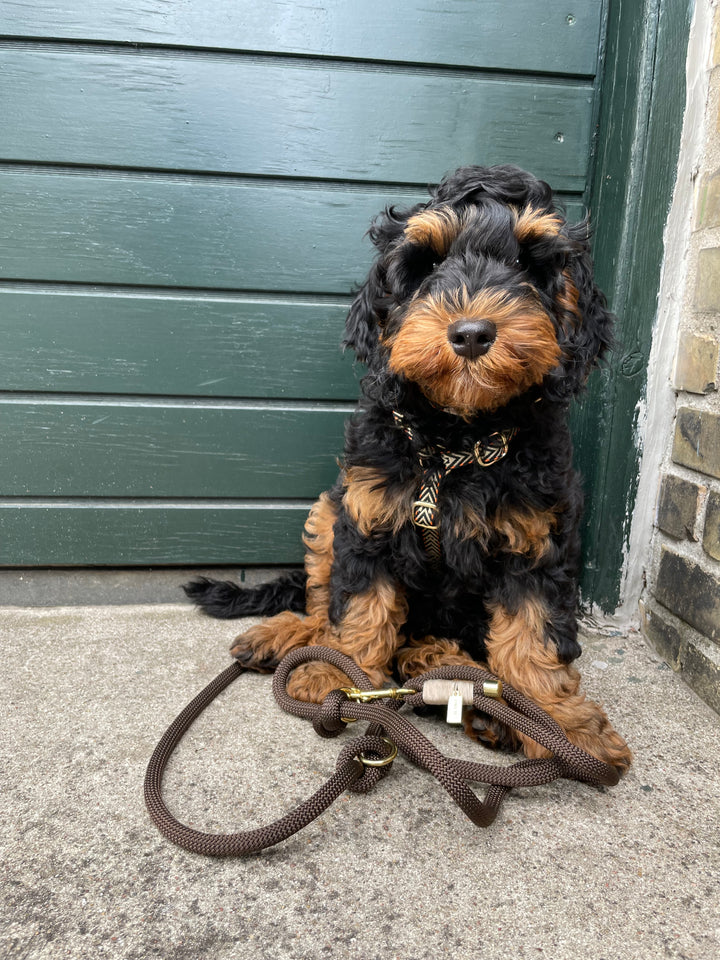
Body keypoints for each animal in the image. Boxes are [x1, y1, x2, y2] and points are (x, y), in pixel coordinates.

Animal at [188, 167, 632, 772]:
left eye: (528, 264)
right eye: (426, 265)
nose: (471, 334)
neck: (454, 444)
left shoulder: (536, 542)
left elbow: (533, 634)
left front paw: (563, 725)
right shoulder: (367, 516)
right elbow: (358, 609)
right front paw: (339, 677)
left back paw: (458, 682)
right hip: (328, 510)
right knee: (322, 599)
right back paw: (294, 639)